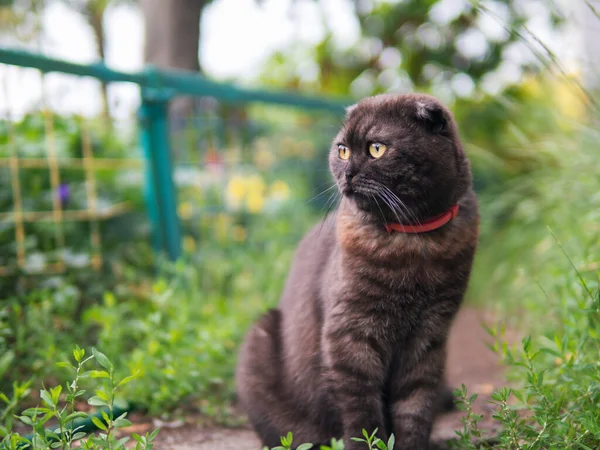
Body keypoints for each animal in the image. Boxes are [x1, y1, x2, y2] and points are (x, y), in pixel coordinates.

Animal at [234, 92, 478, 450]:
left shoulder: (429, 336)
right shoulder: (350, 333)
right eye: (342, 150)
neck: (413, 242)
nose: (347, 172)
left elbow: (415, 405)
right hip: (260, 337)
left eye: (377, 148)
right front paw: (370, 443)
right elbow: (361, 412)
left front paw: (411, 444)